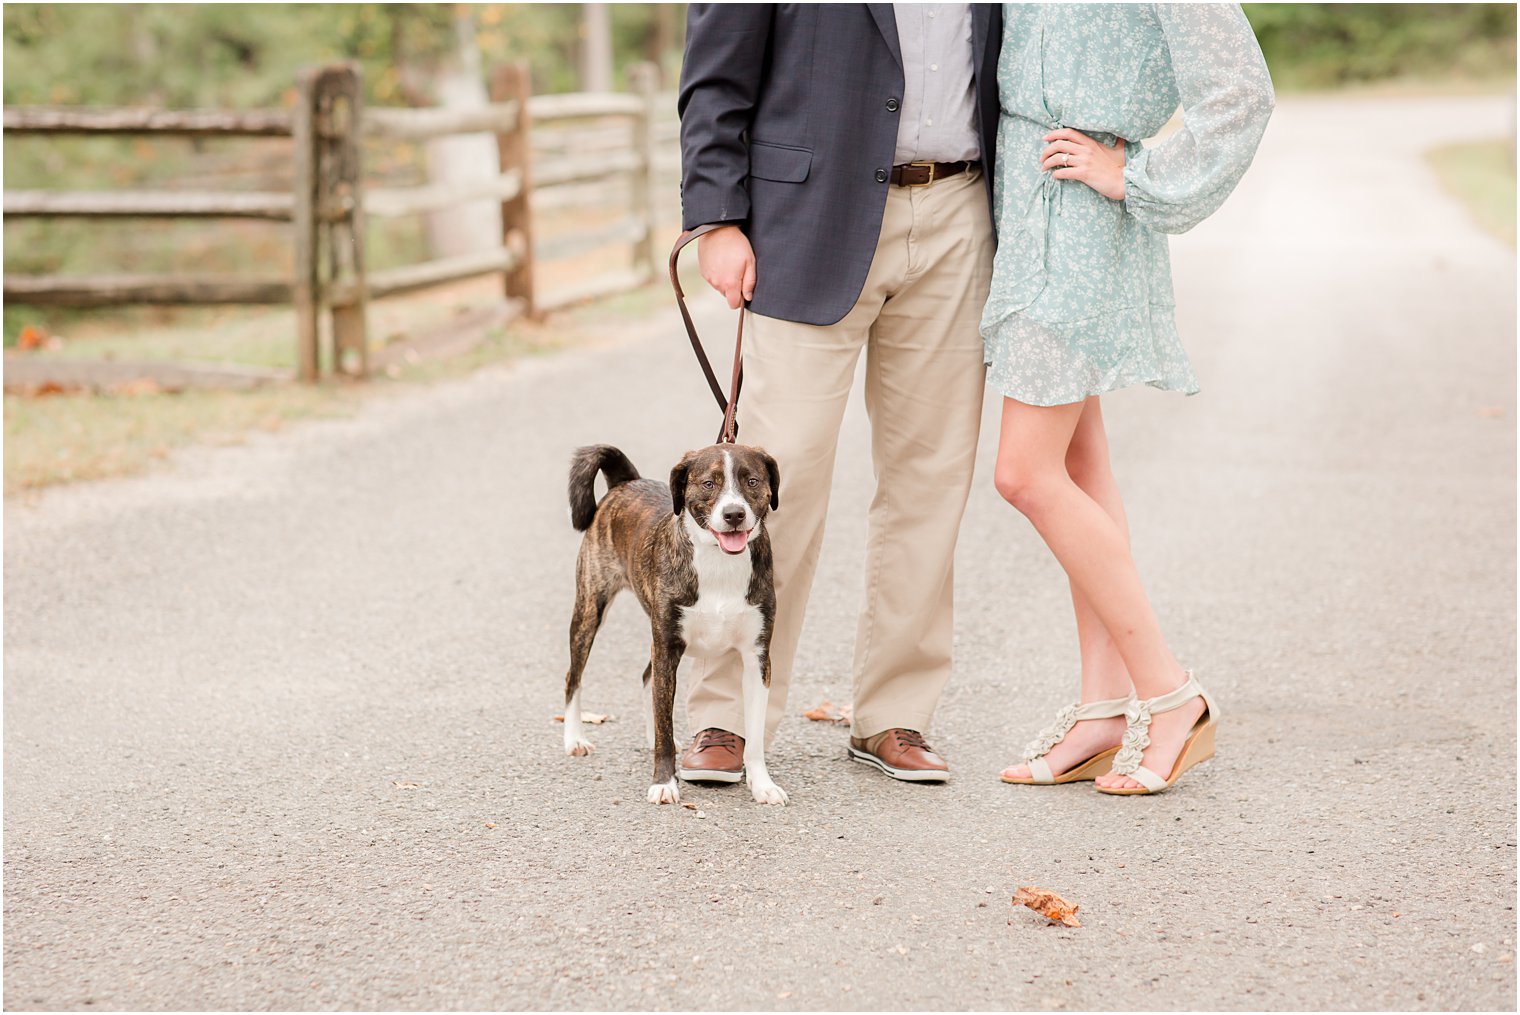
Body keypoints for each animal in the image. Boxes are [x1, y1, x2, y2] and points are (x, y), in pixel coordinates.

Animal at [565, 440, 790, 802]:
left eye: (752, 481)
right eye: (709, 483)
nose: (734, 514)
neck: (719, 562)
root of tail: (626, 482)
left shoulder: (757, 658)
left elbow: (754, 734)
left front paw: (762, 784)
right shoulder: (668, 647)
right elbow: (664, 723)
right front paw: (663, 782)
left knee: (646, 677)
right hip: (589, 610)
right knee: (574, 676)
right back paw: (573, 738)